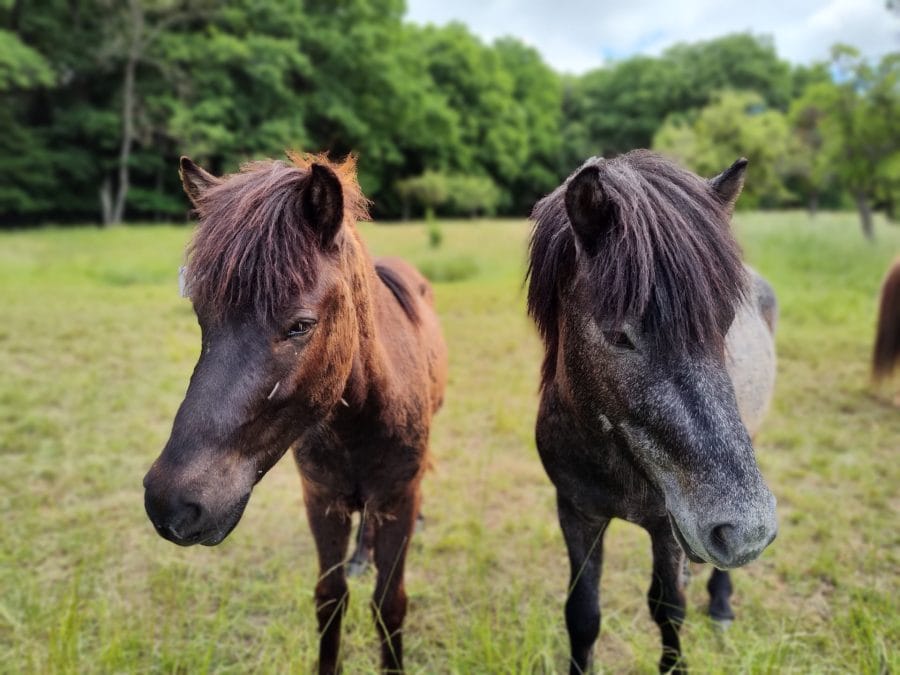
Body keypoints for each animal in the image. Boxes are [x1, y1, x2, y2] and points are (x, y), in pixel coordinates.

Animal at [143, 153, 446, 675]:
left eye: (301, 325)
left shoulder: (397, 501)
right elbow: (330, 599)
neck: (359, 423)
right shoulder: (322, 501)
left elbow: (389, 605)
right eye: (202, 315)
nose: (170, 504)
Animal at [528, 151, 780, 672]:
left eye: (725, 322)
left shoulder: (667, 526)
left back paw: (721, 603)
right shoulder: (576, 512)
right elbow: (582, 612)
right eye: (616, 334)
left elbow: (668, 609)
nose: (747, 531)